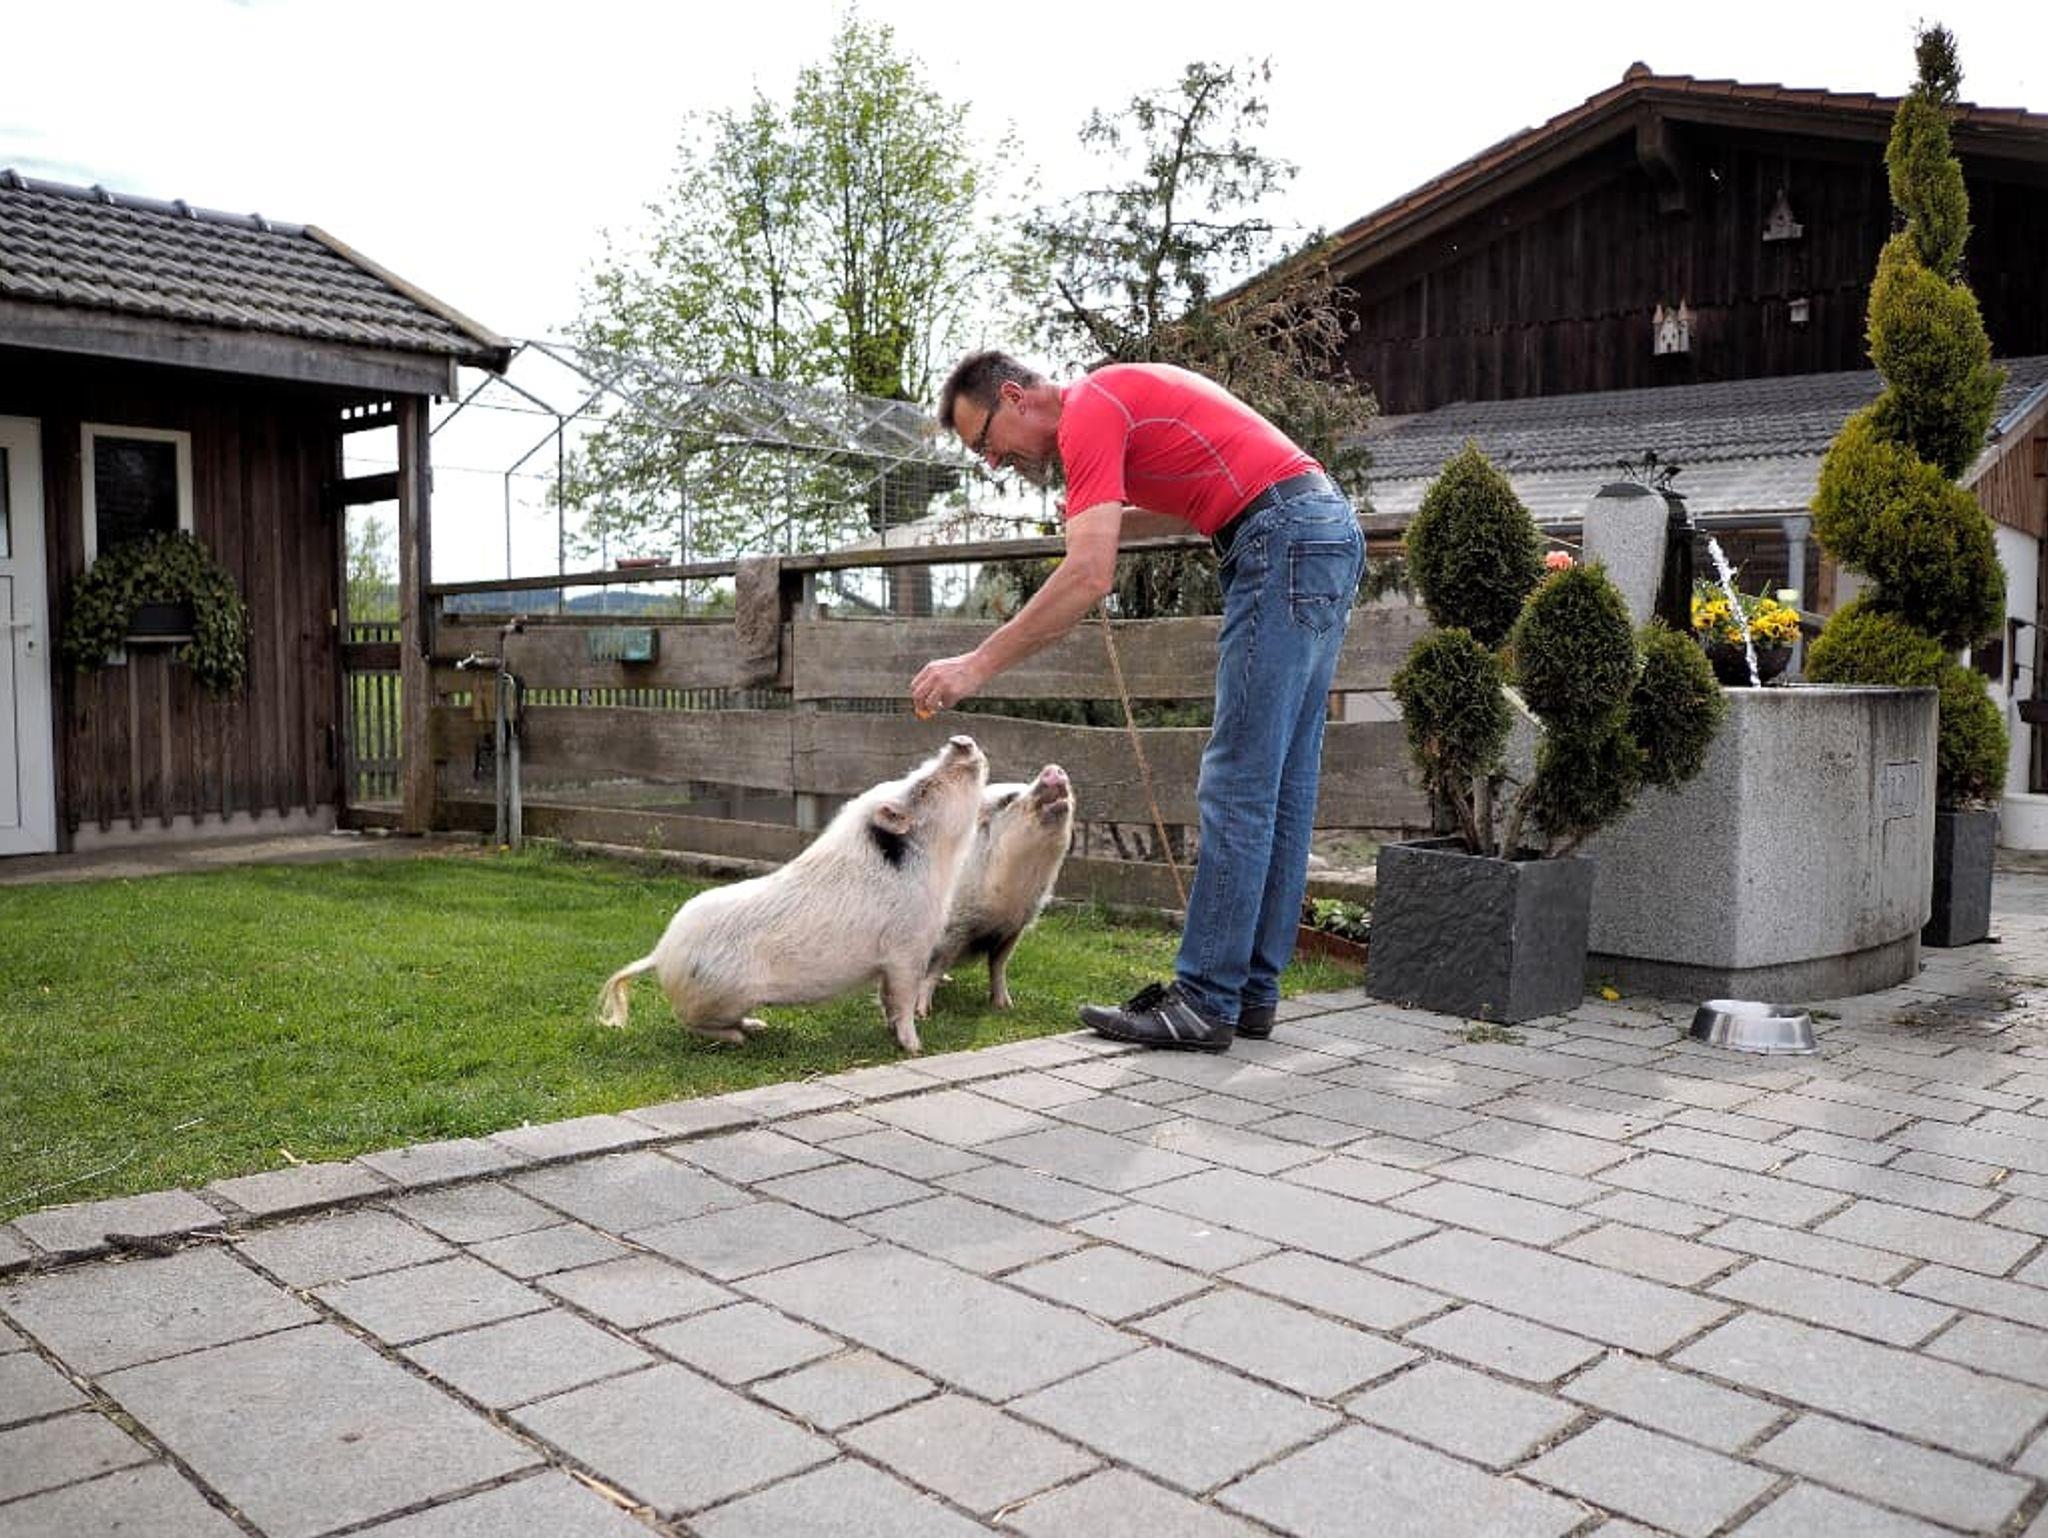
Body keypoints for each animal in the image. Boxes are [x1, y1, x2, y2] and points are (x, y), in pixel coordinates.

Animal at [599, 735, 987, 1054]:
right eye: (923, 787)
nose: (960, 740)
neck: (934, 866)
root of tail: (661, 953)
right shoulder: (906, 949)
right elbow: (904, 998)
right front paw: (915, 1047)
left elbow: (887, 998)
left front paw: (895, 1035)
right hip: (721, 996)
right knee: (690, 1023)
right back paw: (743, 1036)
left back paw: (758, 1025)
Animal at [918, 764, 1075, 1017]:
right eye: (1008, 799)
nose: (1053, 768)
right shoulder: (954, 928)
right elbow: (935, 967)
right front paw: (923, 1014)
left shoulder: (1014, 928)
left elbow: (998, 966)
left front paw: (1005, 1006)